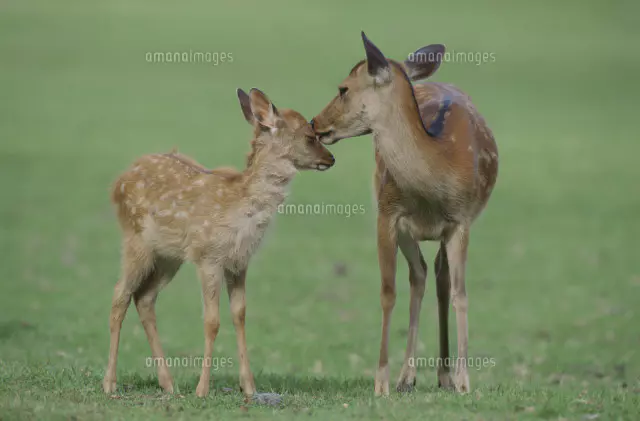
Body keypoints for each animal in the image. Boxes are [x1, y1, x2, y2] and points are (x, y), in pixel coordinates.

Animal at [103, 88, 335, 398]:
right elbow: (211, 321)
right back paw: (110, 383)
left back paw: (168, 384)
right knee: (120, 296)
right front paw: (202, 389)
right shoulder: (208, 257)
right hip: (136, 240)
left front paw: (249, 387)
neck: (241, 210)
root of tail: (118, 181)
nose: (331, 159)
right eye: (310, 136)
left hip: (168, 256)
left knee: (145, 298)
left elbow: (239, 314)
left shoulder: (239, 261)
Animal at [311, 32, 498, 395]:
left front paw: (465, 381)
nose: (315, 123)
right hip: (406, 230)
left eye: (343, 89)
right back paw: (408, 376)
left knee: (439, 278)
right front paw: (382, 381)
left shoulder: (462, 221)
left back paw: (444, 376)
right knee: (421, 274)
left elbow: (461, 294)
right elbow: (388, 293)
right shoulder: (388, 216)